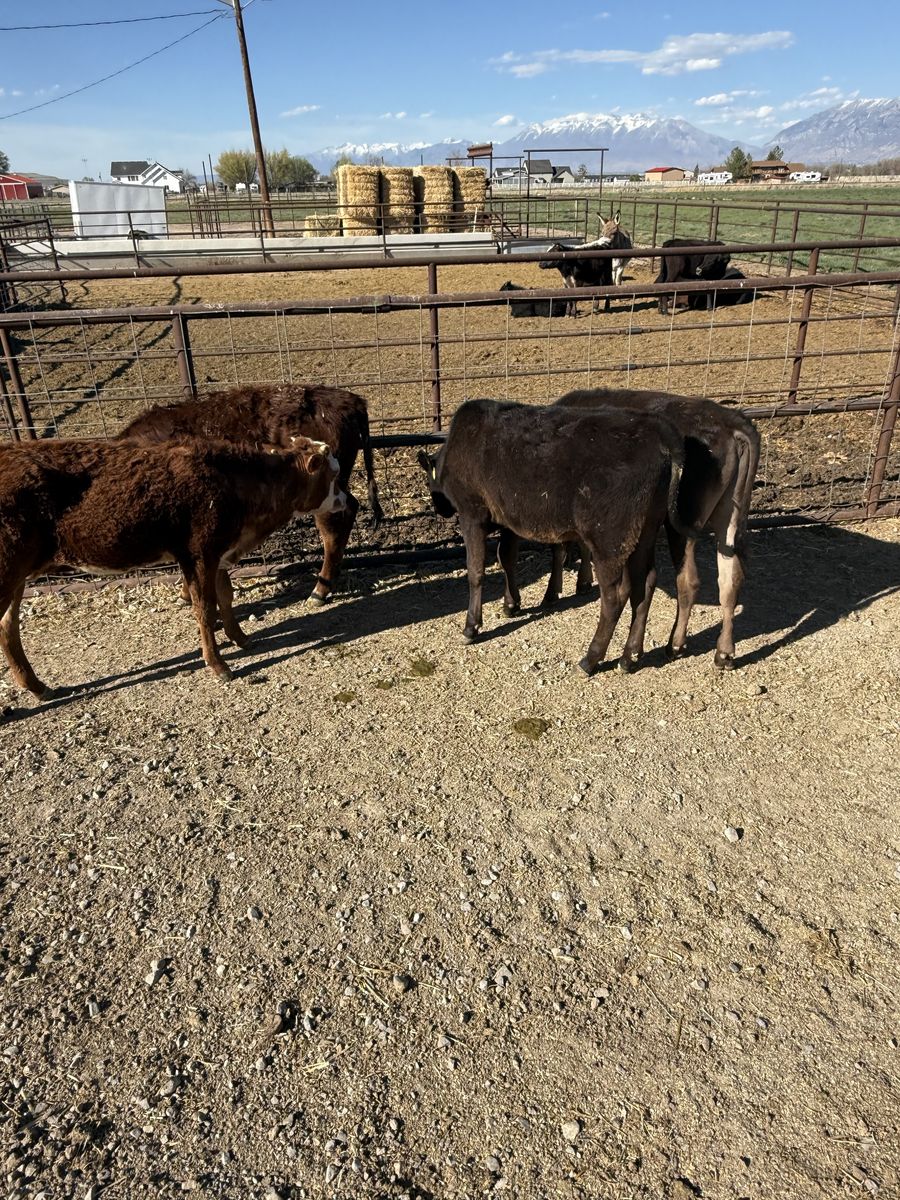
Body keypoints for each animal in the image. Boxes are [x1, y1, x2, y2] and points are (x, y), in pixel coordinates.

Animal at [0, 436, 346, 699]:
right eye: (332, 475)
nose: (344, 499)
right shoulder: (198, 552)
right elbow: (205, 607)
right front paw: (218, 665)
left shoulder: (218, 551)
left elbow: (226, 596)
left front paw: (241, 638)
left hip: (17, 575)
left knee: (8, 627)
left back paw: (38, 687)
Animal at [418, 399, 701, 675]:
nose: (440, 509)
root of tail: (659, 430)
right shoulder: (510, 519)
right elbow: (506, 557)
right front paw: (511, 604)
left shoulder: (471, 513)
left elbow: (475, 572)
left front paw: (471, 626)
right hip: (645, 530)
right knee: (646, 584)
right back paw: (629, 657)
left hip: (609, 539)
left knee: (615, 595)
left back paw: (590, 659)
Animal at [545, 388, 760, 669]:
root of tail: (732, 422)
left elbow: (559, 548)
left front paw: (553, 592)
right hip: (731, 516)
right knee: (730, 579)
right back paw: (723, 653)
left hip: (684, 519)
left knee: (689, 580)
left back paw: (673, 645)